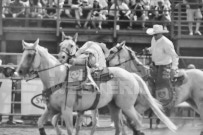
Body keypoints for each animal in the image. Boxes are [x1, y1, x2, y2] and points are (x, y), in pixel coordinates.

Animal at [16, 39, 178, 135]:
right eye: (22, 54)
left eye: (30, 55)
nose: (20, 71)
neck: (58, 77)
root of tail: (132, 75)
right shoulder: (52, 109)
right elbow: (43, 123)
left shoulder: (67, 110)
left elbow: (69, 129)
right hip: (115, 107)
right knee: (121, 126)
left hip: (126, 107)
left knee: (137, 123)